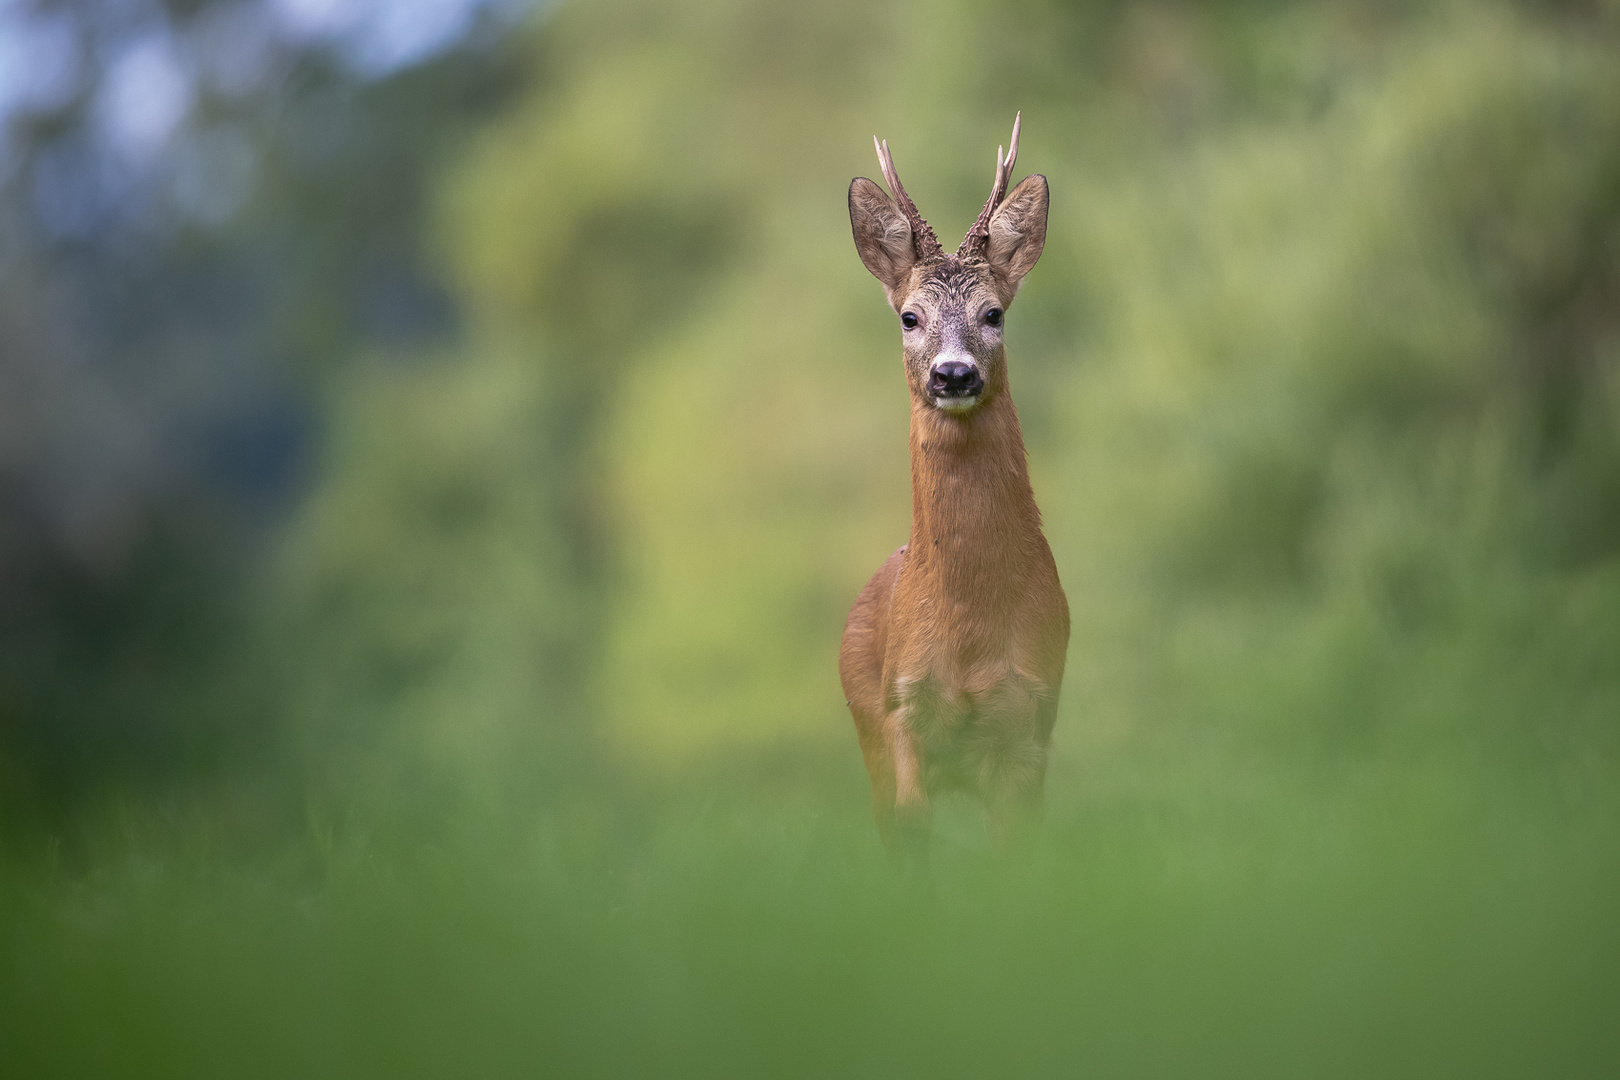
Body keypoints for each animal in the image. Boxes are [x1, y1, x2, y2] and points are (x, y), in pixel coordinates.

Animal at [842, 114, 1069, 854]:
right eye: (909, 316)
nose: (954, 373)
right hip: (865, 725)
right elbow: (914, 829)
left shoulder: (1027, 716)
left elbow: (1014, 844)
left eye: (994, 314)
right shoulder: (903, 708)